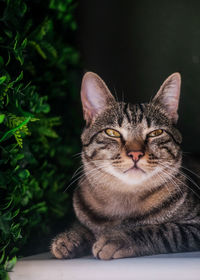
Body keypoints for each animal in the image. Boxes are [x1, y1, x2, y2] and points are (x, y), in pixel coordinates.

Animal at [50, 71, 200, 260]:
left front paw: (117, 238)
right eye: (112, 132)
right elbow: (82, 226)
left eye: (156, 133)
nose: (135, 153)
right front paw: (69, 237)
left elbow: (160, 230)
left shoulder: (194, 226)